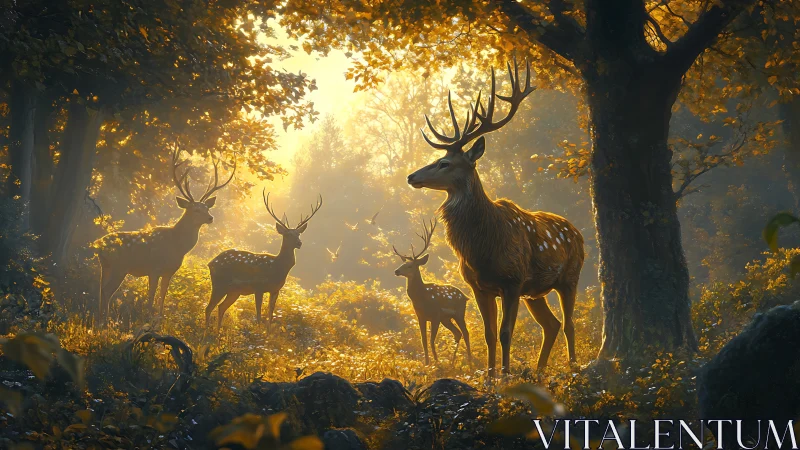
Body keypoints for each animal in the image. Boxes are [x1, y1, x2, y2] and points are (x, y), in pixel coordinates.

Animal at [92, 146, 236, 326]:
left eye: (207, 208)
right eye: (195, 209)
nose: (210, 218)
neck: (177, 245)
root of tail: (97, 245)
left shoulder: (169, 271)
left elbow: (162, 296)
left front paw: (159, 321)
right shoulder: (154, 268)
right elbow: (151, 296)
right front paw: (147, 320)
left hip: (105, 266)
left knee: (100, 289)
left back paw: (99, 320)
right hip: (119, 266)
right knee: (107, 291)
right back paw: (105, 322)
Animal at [206, 189, 322, 330]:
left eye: (298, 234)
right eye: (288, 234)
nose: (299, 243)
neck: (276, 268)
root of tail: (210, 263)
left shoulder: (276, 289)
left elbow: (270, 317)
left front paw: (267, 333)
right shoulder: (258, 286)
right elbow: (259, 316)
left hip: (234, 291)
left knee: (221, 307)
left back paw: (217, 332)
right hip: (219, 283)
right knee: (208, 307)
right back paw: (206, 331)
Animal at [392, 218, 472, 366]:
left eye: (410, 265)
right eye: (403, 264)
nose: (396, 271)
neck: (421, 298)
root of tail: (465, 297)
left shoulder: (435, 315)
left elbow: (431, 340)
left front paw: (436, 362)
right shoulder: (421, 316)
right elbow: (423, 340)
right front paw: (427, 363)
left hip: (459, 312)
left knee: (465, 332)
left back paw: (469, 362)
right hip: (446, 318)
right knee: (457, 333)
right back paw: (453, 362)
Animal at [407, 58, 585, 375]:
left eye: (445, 163)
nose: (411, 176)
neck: (482, 247)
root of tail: (579, 234)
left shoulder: (513, 281)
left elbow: (505, 332)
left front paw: (505, 375)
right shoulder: (479, 286)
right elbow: (488, 333)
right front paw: (490, 376)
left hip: (570, 277)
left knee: (569, 325)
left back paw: (573, 369)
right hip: (535, 292)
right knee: (551, 325)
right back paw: (539, 372)